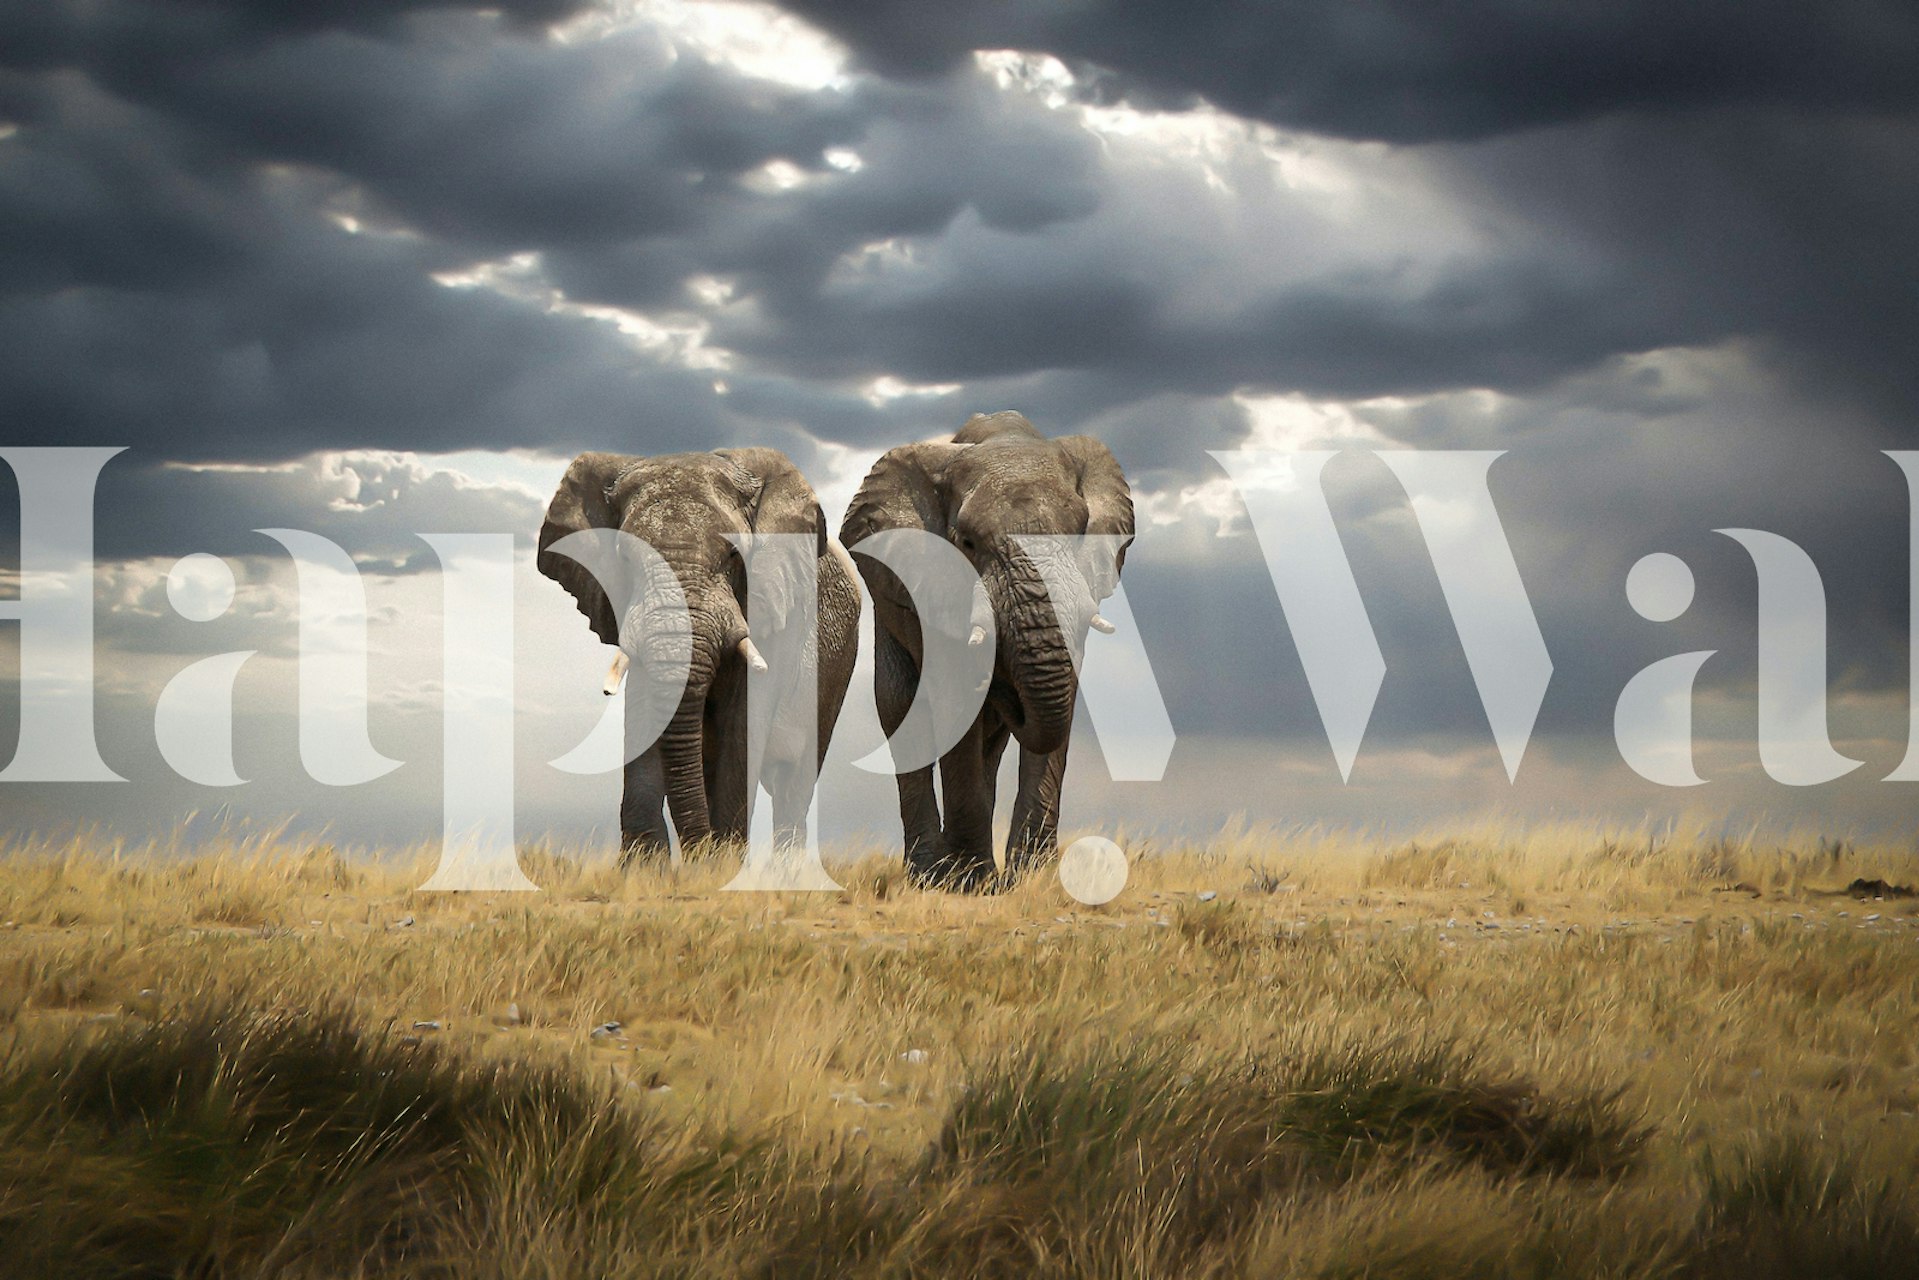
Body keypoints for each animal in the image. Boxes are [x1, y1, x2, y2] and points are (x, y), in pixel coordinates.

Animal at [537, 448, 860, 864]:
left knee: (793, 783)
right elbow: (645, 714)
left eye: (734, 555)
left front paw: (721, 867)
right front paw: (645, 866)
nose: (698, 850)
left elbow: (743, 724)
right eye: (625, 560)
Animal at [840, 411, 1133, 889]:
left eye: (1079, 532)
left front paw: (1035, 879)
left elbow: (1061, 699)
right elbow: (956, 701)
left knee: (991, 746)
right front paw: (970, 884)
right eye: (967, 542)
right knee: (902, 710)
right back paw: (930, 874)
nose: (1003, 685)